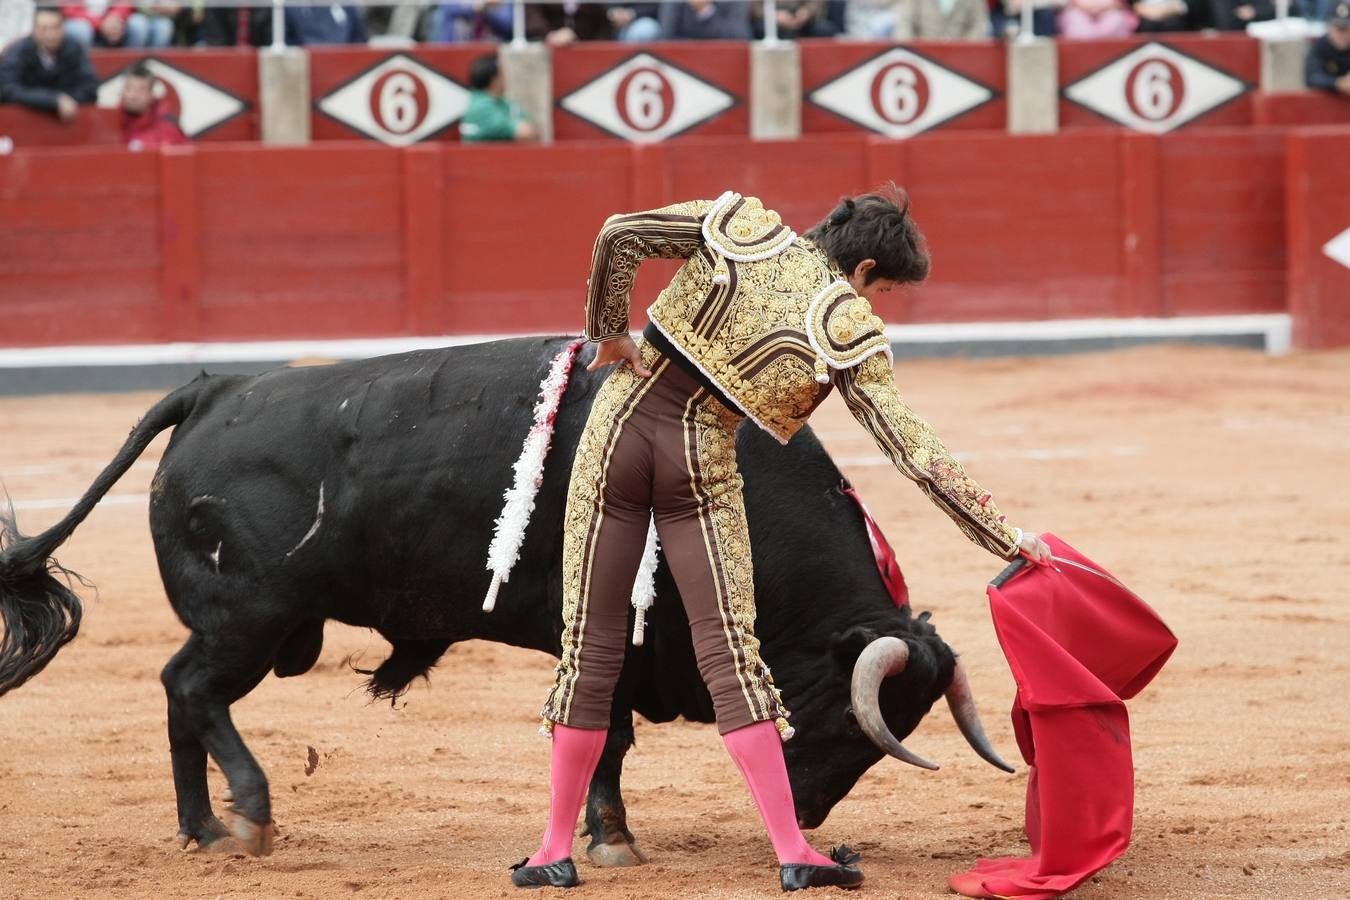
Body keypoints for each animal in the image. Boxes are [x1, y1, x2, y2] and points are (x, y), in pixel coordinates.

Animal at [0, 340, 1015, 863]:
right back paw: (247, 815)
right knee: (192, 690)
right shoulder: (615, 630)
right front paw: (610, 841)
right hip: (247, 622)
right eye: (852, 721)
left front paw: (608, 835)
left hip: (250, 627)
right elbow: (606, 731)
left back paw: (202, 829)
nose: (804, 816)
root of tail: (213, 390)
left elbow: (606, 733)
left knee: (180, 697)